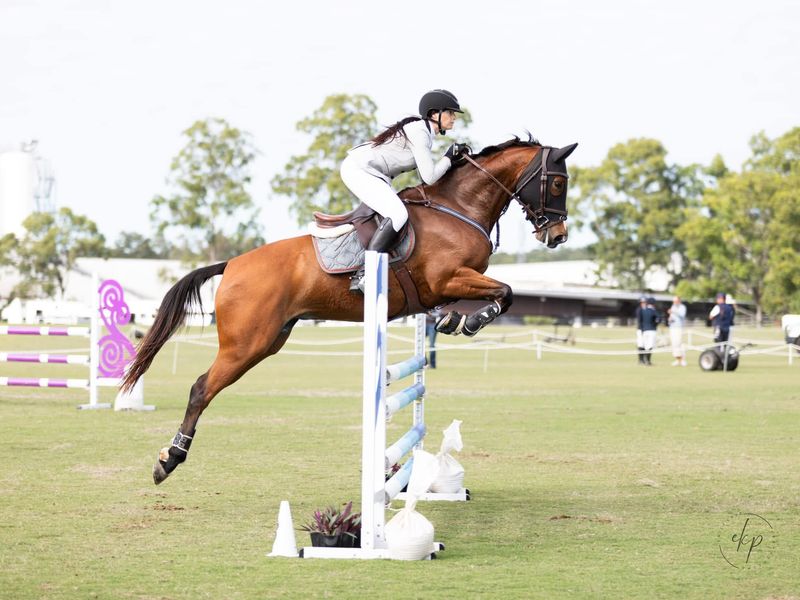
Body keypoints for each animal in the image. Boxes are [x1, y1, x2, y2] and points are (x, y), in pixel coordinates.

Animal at [122, 136, 578, 484]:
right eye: (557, 183)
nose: (557, 235)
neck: (458, 207)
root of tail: (231, 264)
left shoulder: (448, 286)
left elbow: (493, 294)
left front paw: (454, 319)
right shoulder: (448, 278)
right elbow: (506, 291)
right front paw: (472, 320)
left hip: (269, 341)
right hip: (245, 344)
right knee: (201, 388)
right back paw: (169, 460)